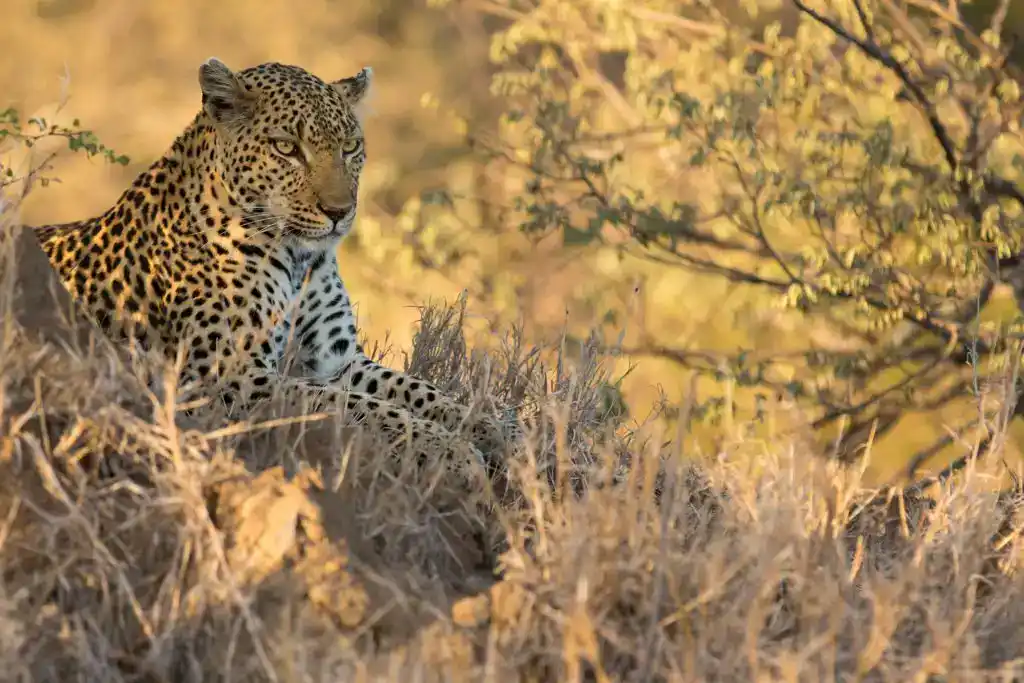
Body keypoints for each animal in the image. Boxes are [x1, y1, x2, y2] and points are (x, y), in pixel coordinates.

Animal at [31, 57, 503, 461]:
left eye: (351, 147)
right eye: (286, 148)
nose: (339, 211)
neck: (297, 259)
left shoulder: (336, 358)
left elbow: (420, 390)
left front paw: (494, 429)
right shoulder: (230, 379)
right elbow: (352, 405)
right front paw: (454, 453)